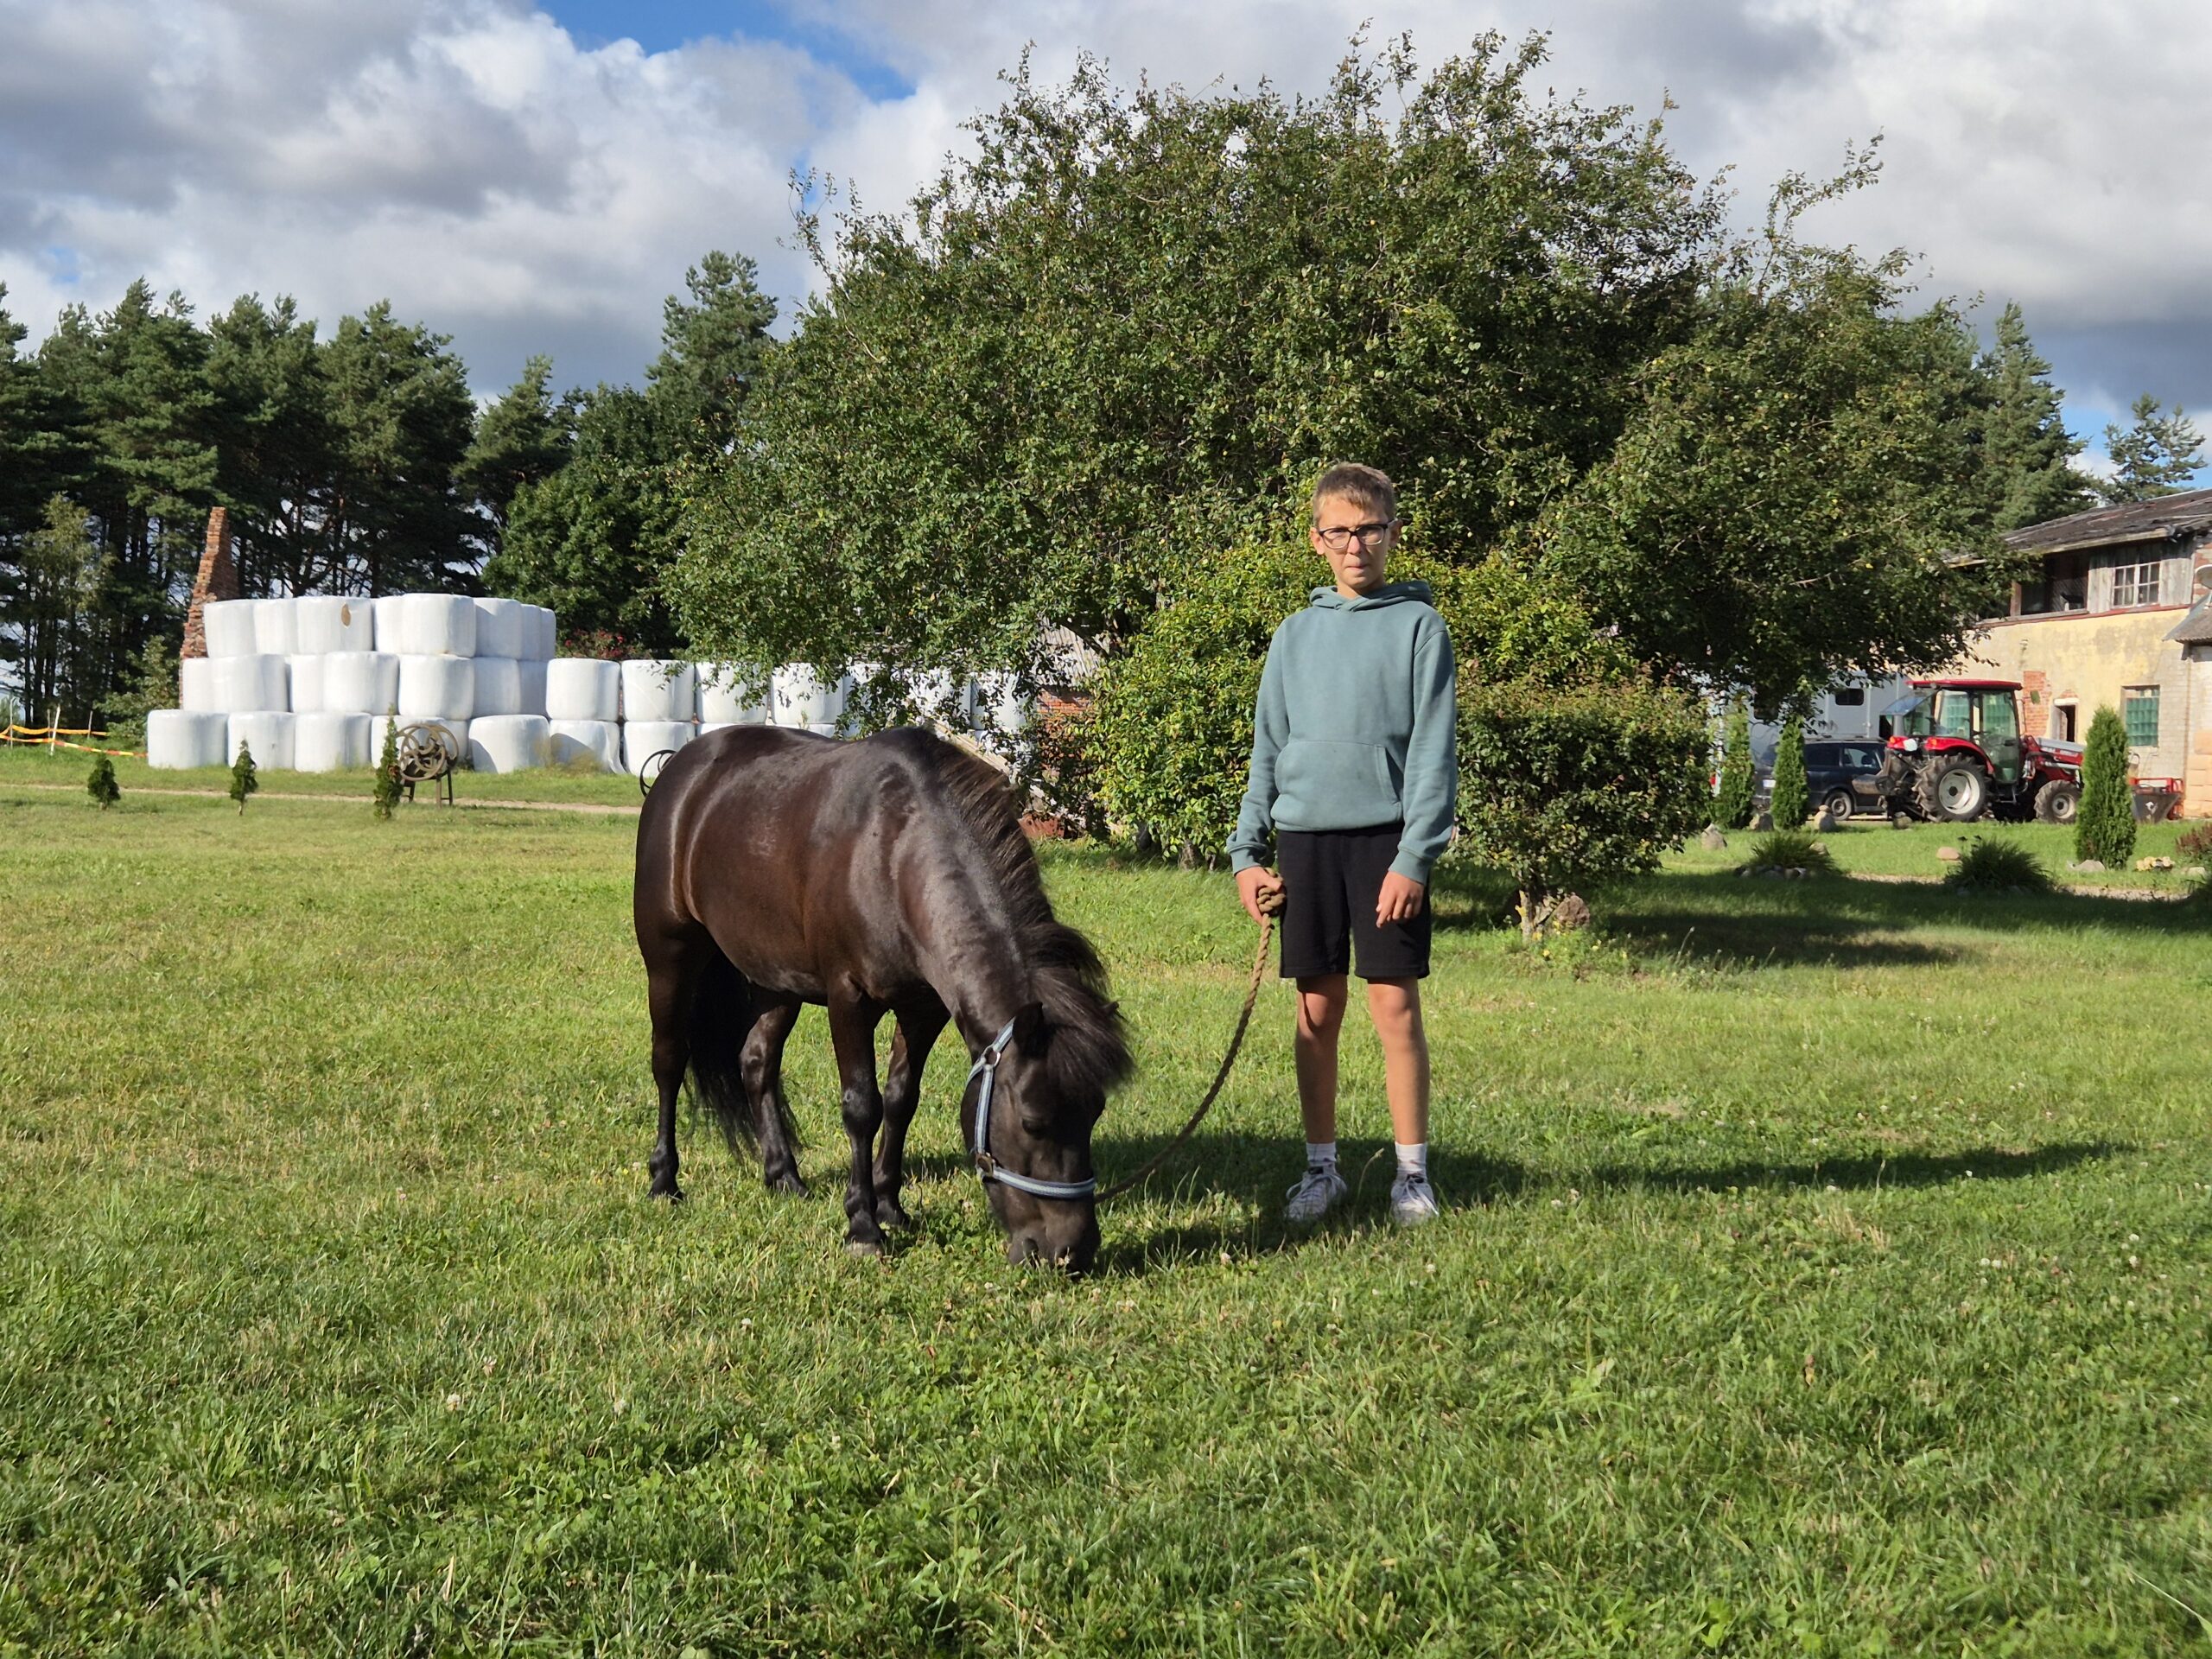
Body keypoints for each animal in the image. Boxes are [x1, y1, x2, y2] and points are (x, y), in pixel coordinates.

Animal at [632, 725, 1133, 1270]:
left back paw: (783, 1176)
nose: (1072, 1252)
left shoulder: (922, 1009)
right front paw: (863, 1226)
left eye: (1094, 1114)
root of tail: (678, 768)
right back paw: (664, 1181)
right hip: (671, 958)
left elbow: (900, 1101)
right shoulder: (849, 999)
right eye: (1033, 1123)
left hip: (777, 980)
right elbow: (862, 1107)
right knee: (668, 1062)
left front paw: (890, 1206)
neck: (894, 854)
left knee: (756, 1062)